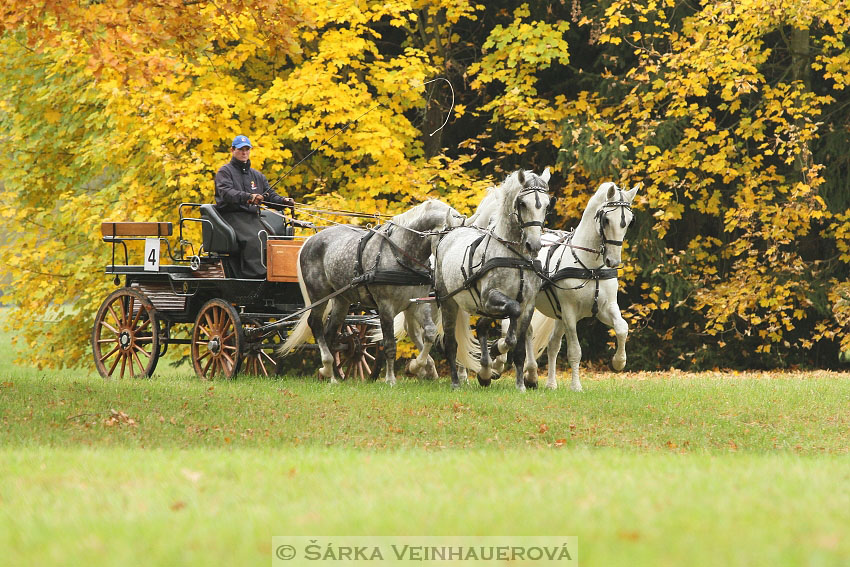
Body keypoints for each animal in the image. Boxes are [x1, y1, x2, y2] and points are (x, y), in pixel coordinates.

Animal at [278, 200, 464, 386]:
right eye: (447, 241)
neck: (401, 253)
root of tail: (310, 240)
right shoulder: (385, 306)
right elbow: (389, 344)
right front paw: (391, 379)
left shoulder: (418, 304)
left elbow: (430, 333)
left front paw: (416, 366)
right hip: (319, 294)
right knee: (315, 323)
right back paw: (327, 365)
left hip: (341, 300)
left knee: (329, 332)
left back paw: (329, 374)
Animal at [430, 169, 548, 390]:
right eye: (522, 203)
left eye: (546, 204)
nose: (534, 245)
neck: (515, 257)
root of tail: (450, 234)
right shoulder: (489, 297)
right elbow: (512, 320)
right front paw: (498, 348)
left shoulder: (528, 304)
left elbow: (519, 346)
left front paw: (520, 385)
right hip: (449, 302)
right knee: (451, 343)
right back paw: (456, 382)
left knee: (482, 325)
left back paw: (485, 372)